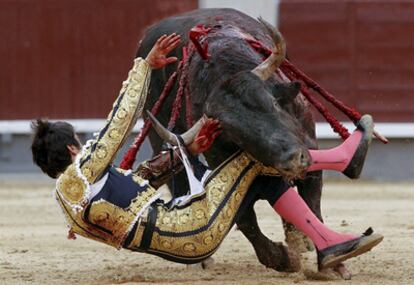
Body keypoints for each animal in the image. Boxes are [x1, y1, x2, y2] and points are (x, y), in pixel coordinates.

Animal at [136, 8, 324, 270]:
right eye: (233, 132)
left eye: (274, 103)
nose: (293, 160)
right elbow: (245, 217)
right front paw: (282, 258)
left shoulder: (311, 150)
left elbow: (312, 205)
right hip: (157, 136)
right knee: (178, 178)